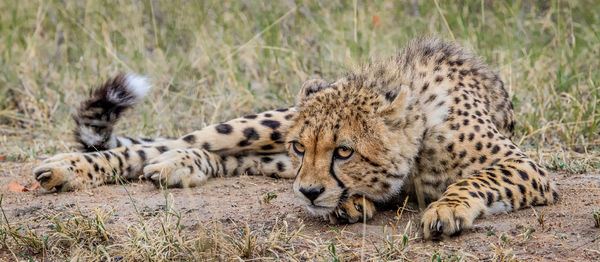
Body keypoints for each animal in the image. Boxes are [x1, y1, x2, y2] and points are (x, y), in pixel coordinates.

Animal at [32, 37, 556, 241]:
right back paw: (65, 168)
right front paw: (352, 204)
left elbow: (472, 180)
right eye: (304, 147)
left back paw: (182, 166)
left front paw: (445, 209)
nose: (306, 191)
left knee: (213, 156)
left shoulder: (528, 168)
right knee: (167, 143)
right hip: (267, 124)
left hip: (265, 152)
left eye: (343, 151)